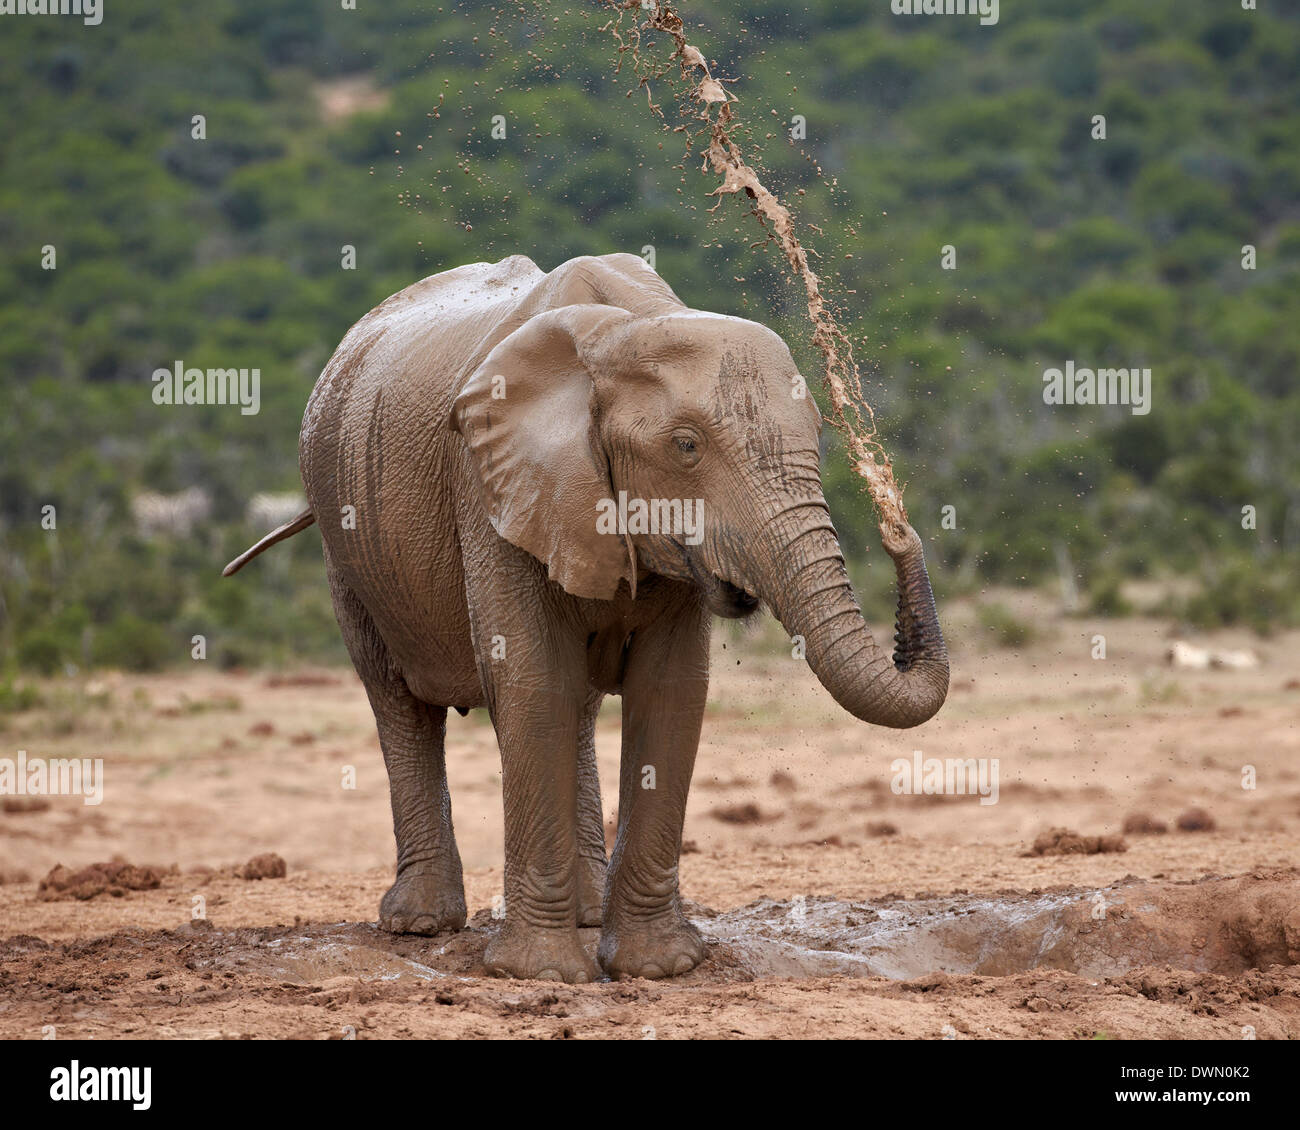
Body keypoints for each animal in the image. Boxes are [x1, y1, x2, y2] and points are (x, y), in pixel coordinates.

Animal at [226, 253, 946, 977]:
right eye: (686, 446)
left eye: (822, 436)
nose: (896, 520)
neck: (625, 328)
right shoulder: (489, 485)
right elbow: (533, 682)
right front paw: (539, 974)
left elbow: (670, 691)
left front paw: (658, 968)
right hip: (344, 536)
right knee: (398, 699)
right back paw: (420, 924)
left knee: (576, 708)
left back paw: (588, 912)